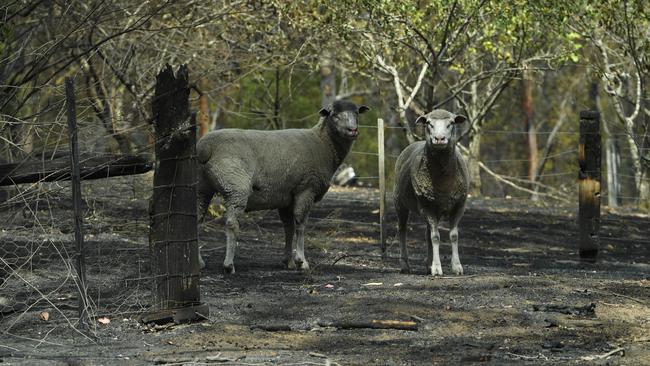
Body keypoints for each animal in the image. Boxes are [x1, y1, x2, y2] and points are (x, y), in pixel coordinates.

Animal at [196, 99, 370, 272]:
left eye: (356, 113)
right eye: (334, 115)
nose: (353, 130)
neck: (322, 143)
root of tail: (205, 146)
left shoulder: (286, 197)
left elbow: (289, 228)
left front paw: (289, 261)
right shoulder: (306, 189)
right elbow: (300, 225)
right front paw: (301, 261)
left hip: (202, 187)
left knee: (196, 219)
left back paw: (199, 262)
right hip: (235, 186)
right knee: (231, 223)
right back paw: (228, 265)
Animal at [390, 110, 466, 276]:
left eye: (451, 123)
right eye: (429, 123)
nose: (439, 139)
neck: (442, 181)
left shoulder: (458, 206)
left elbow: (454, 236)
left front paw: (456, 266)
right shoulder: (426, 206)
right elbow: (436, 237)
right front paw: (437, 268)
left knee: (427, 233)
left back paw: (428, 264)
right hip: (400, 203)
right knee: (402, 230)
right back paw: (405, 264)